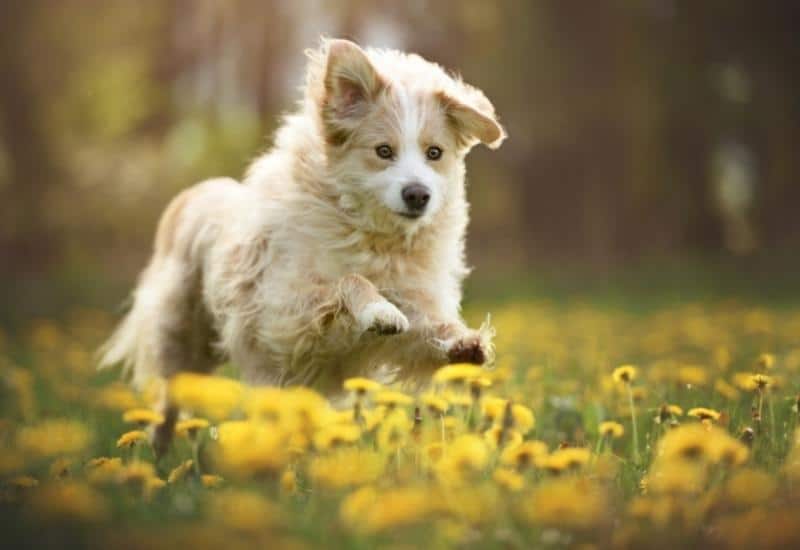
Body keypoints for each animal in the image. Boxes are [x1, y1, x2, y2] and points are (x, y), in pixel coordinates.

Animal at [97, 37, 504, 452]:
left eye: (434, 153)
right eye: (383, 151)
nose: (418, 195)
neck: (375, 238)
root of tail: (195, 196)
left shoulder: (407, 311)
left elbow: (426, 328)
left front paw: (463, 343)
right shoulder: (287, 312)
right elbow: (350, 283)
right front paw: (378, 309)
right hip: (180, 338)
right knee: (170, 399)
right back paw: (158, 455)